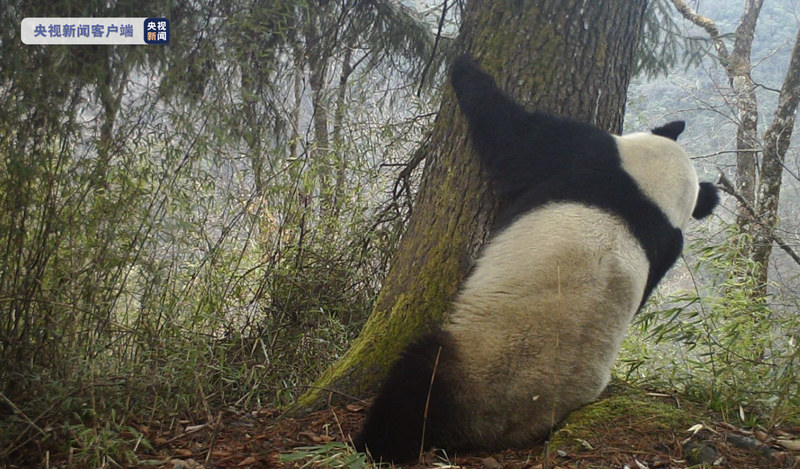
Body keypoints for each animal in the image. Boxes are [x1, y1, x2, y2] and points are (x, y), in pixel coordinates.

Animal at [354, 56, 720, 462]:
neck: (648, 196)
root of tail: (498, 429)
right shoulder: (666, 245)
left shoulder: (583, 156)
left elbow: (512, 134)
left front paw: (464, 65)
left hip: (471, 362)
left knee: (415, 385)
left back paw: (373, 445)